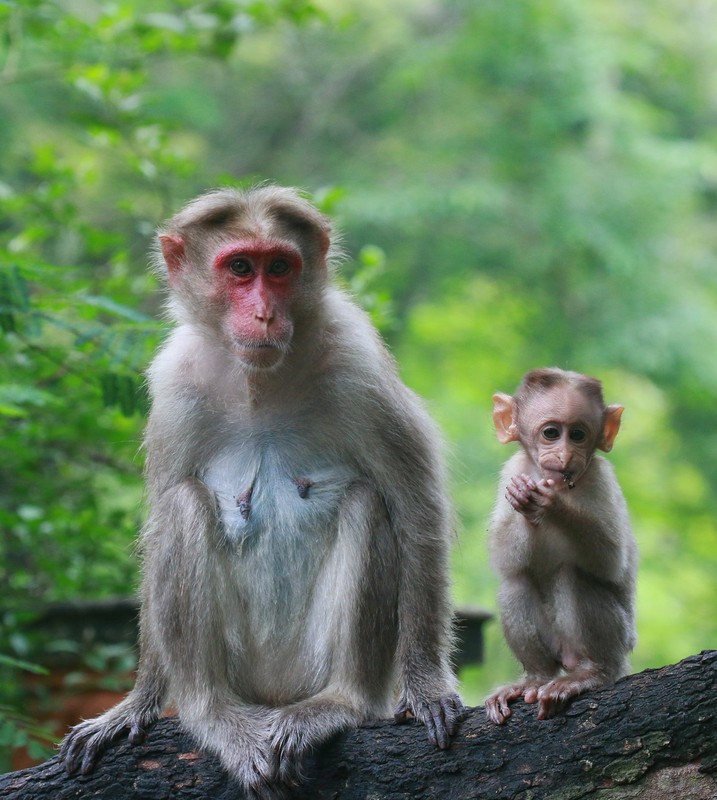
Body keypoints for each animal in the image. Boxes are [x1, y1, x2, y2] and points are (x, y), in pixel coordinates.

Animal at [61, 186, 464, 792]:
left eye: (279, 268)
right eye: (240, 269)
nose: (264, 312)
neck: (261, 381)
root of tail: (275, 696)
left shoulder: (360, 365)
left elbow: (417, 512)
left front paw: (427, 686)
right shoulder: (175, 384)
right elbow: (159, 525)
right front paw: (136, 704)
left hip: (308, 667)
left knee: (368, 503)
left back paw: (339, 703)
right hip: (244, 671)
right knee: (183, 504)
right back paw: (212, 713)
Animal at [484, 368, 636, 724]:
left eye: (578, 435)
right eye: (551, 433)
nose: (565, 455)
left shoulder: (601, 478)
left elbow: (611, 559)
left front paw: (551, 504)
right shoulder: (513, 469)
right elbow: (504, 558)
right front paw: (527, 500)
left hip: (620, 640)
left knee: (575, 575)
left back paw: (594, 673)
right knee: (515, 581)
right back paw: (535, 677)